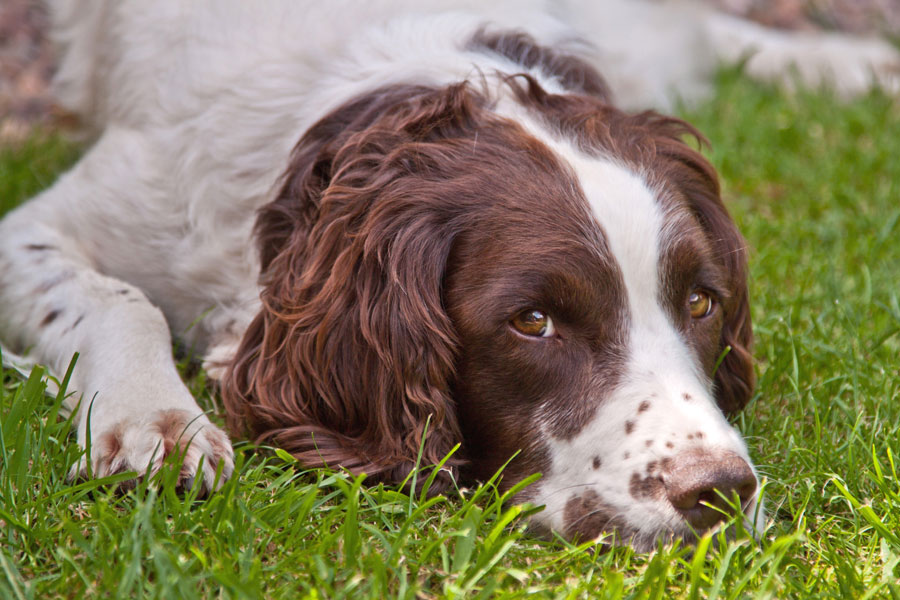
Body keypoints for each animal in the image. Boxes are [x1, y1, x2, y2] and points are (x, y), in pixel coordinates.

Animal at [0, 0, 896, 552]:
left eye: (702, 302)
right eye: (532, 321)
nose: (718, 491)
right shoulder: (43, 226)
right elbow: (121, 303)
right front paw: (157, 425)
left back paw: (852, 64)